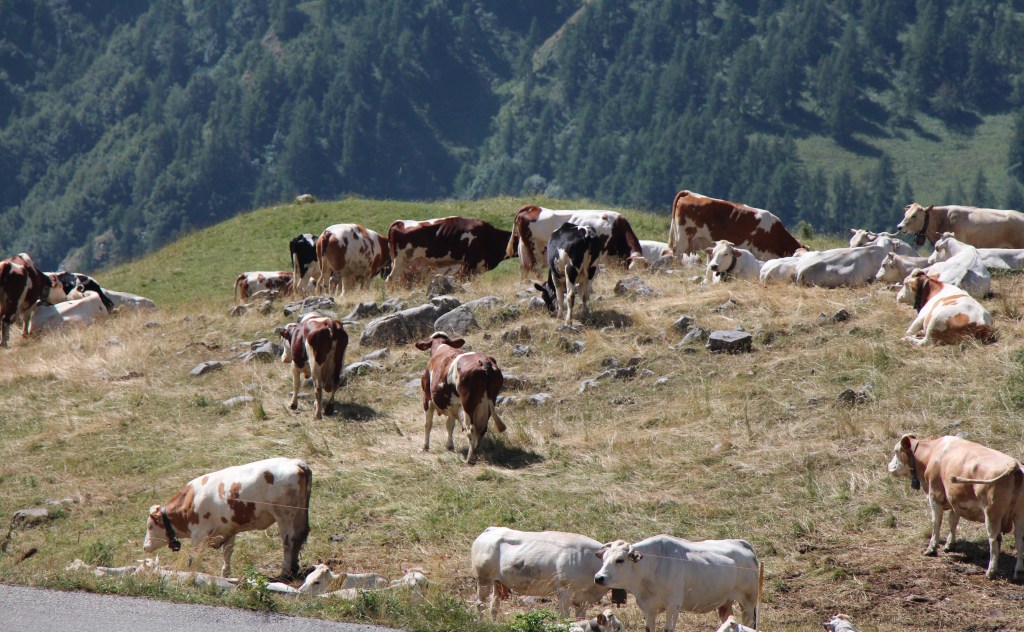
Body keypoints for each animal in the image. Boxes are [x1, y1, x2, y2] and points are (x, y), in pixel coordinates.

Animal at [142, 457, 312, 580]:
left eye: (150, 526)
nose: (145, 547)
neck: (190, 501)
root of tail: (294, 462)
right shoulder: (229, 529)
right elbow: (228, 552)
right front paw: (226, 574)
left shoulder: (198, 534)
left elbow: (193, 556)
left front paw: (190, 572)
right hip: (300, 514)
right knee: (300, 536)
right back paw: (294, 569)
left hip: (284, 515)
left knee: (288, 541)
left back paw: (285, 573)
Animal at [415, 332, 505, 465]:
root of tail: (485, 362)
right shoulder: (453, 404)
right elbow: (450, 425)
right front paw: (449, 445)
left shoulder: (427, 398)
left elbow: (428, 424)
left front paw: (424, 447)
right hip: (487, 403)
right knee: (482, 429)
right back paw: (475, 453)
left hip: (468, 403)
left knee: (471, 429)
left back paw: (469, 459)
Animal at [472, 526, 624, 620]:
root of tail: (491, 529)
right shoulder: (564, 591)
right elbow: (564, 618)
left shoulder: (584, 599)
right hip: (483, 579)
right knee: (480, 604)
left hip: (498, 582)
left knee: (493, 606)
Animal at [594, 536, 761, 631]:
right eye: (604, 558)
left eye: (620, 560)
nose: (598, 577)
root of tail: (742, 543)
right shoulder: (649, 607)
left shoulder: (673, 605)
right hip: (726, 603)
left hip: (748, 602)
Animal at [887, 434, 1024, 580]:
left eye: (896, 451)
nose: (889, 466)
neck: (932, 452)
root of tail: (1015, 465)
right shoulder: (954, 499)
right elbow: (953, 521)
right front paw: (949, 544)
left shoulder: (935, 496)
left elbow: (936, 523)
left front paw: (931, 548)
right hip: (1019, 515)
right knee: (1019, 541)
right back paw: (1019, 572)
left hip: (992, 514)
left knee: (994, 539)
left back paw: (991, 571)